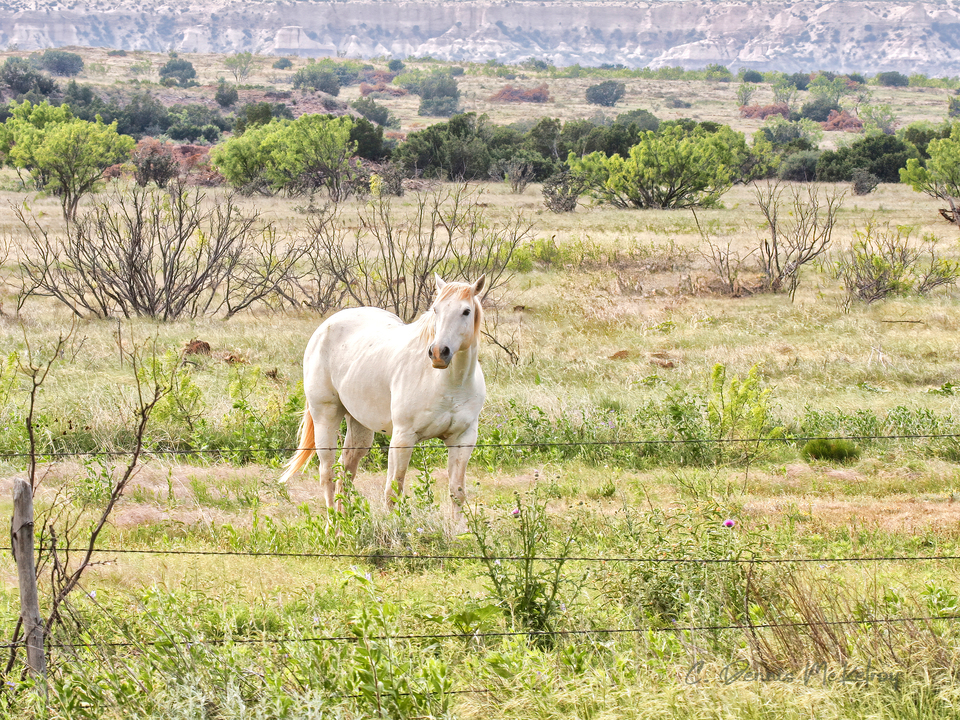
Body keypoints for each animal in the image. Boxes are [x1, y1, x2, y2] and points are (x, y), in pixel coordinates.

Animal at [280, 274, 487, 514]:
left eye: (466, 311)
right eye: (436, 309)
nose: (438, 353)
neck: (449, 384)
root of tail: (324, 328)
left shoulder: (463, 440)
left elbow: (457, 493)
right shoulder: (403, 437)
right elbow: (393, 491)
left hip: (359, 426)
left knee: (346, 471)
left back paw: (345, 522)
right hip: (326, 417)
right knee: (328, 473)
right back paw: (333, 523)